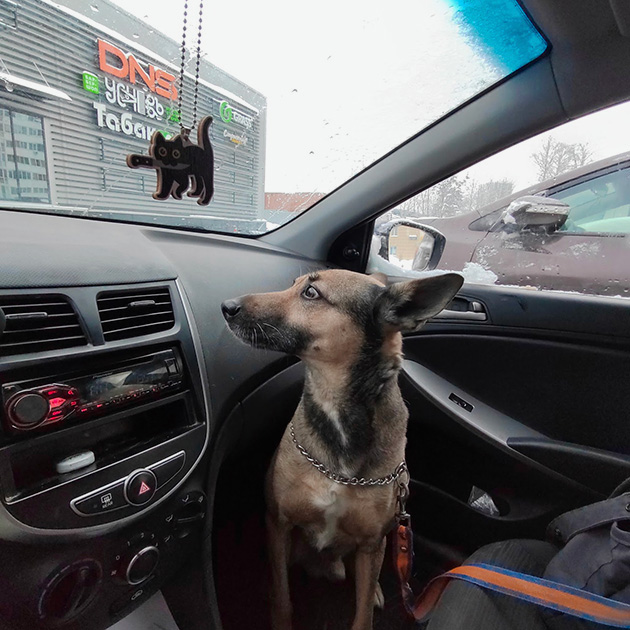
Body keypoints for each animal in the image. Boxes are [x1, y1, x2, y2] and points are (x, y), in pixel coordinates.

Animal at [222, 272, 464, 630]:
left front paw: (369, 598)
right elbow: (281, 597)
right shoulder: (279, 523)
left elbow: (362, 614)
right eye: (293, 283)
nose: (226, 306)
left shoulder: (370, 542)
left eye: (311, 293)